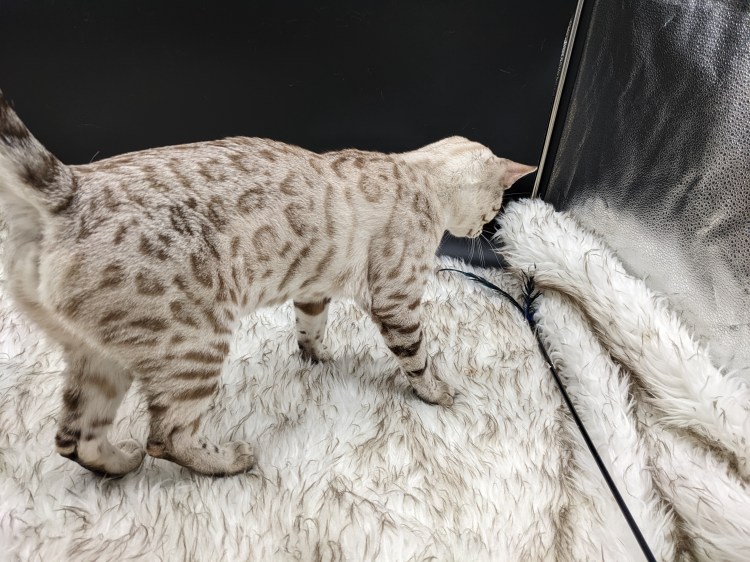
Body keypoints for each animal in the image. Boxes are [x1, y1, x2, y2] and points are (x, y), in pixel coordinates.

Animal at [0, 91, 536, 477]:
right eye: (495, 206)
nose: (483, 229)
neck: (415, 173)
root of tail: (70, 190)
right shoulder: (397, 301)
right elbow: (419, 360)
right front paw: (439, 394)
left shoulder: (314, 289)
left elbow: (310, 328)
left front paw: (318, 357)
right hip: (197, 343)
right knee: (165, 436)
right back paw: (230, 462)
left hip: (99, 358)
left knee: (76, 438)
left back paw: (120, 465)